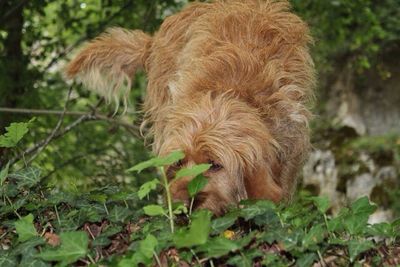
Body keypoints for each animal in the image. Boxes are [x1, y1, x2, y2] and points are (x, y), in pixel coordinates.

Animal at [66, 0, 316, 215]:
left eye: (215, 165)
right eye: (179, 162)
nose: (184, 205)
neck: (231, 89)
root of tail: (154, 41)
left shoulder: (291, 145)